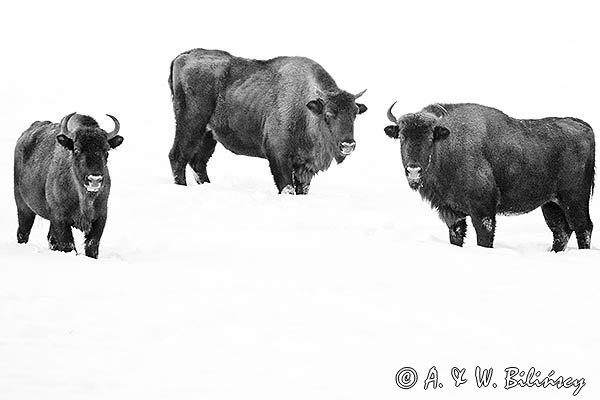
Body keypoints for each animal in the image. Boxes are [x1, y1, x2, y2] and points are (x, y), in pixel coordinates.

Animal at [13, 111, 123, 258]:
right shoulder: (60, 219)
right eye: (76, 149)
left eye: (106, 150)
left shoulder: (100, 217)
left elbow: (92, 245)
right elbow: (68, 245)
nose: (94, 179)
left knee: (50, 238)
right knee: (23, 232)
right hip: (23, 206)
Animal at [166, 48, 368, 194]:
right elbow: (287, 187)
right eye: (328, 114)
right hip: (191, 125)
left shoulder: (304, 168)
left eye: (355, 113)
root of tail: (184, 57)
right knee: (178, 156)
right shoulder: (279, 157)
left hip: (209, 134)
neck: (306, 108)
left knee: (198, 162)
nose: (348, 145)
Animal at [384, 103, 596, 252]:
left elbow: (484, 237)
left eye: (430, 138)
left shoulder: (483, 210)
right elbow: (456, 236)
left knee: (583, 227)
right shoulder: (452, 212)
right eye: (402, 137)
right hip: (551, 203)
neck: (448, 145)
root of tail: (584, 127)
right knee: (561, 231)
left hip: (574, 199)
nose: (413, 170)